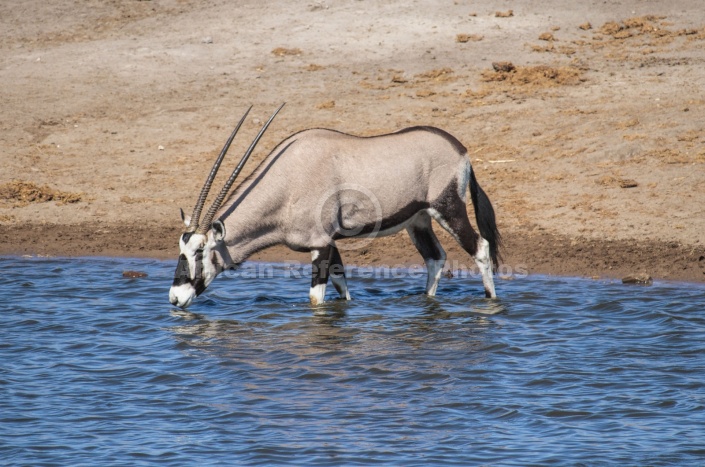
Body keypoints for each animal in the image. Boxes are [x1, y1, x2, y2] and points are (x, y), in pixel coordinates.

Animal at [170, 107, 500, 310]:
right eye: (181, 250)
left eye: (200, 251)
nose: (175, 298)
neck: (287, 183)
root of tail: (460, 150)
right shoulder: (330, 243)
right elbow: (342, 287)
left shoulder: (320, 244)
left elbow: (316, 299)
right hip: (418, 221)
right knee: (435, 257)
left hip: (448, 208)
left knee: (480, 247)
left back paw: (490, 301)